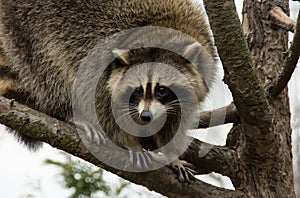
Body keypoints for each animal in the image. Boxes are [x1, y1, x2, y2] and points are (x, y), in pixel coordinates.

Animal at [0, 0, 216, 183]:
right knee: (48, 67)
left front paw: (173, 154)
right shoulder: (99, 64)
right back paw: (67, 112)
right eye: (138, 90)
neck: (160, 28)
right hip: (27, 25)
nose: (146, 116)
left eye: (162, 90)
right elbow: (106, 111)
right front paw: (130, 141)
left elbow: (176, 120)